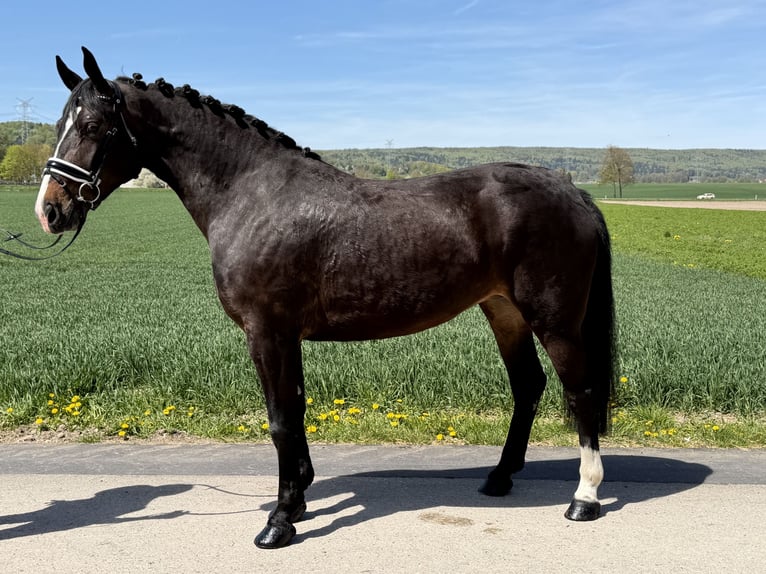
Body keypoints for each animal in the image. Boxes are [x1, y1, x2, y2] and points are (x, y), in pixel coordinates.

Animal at [36, 47, 616, 549]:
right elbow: (293, 412)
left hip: (555, 319)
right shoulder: (284, 336)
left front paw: (278, 521)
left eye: (93, 126)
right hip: (504, 311)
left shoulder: (268, 332)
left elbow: (280, 419)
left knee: (581, 391)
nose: (50, 210)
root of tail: (574, 191)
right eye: (61, 124)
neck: (250, 193)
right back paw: (499, 477)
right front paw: (297, 502)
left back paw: (584, 498)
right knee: (529, 386)